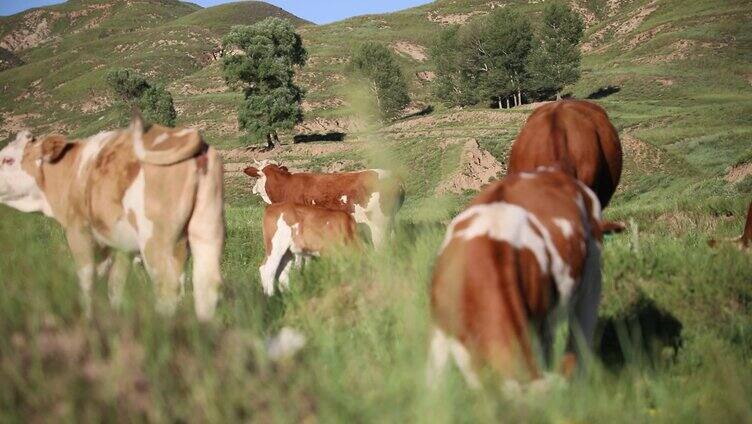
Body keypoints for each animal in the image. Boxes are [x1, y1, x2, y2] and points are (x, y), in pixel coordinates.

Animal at [0, 112, 223, 322]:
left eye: (8, 159)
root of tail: (184, 135)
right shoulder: (119, 246)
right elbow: (115, 284)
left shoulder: (79, 231)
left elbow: (88, 280)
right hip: (206, 227)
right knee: (206, 285)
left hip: (156, 239)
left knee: (167, 287)